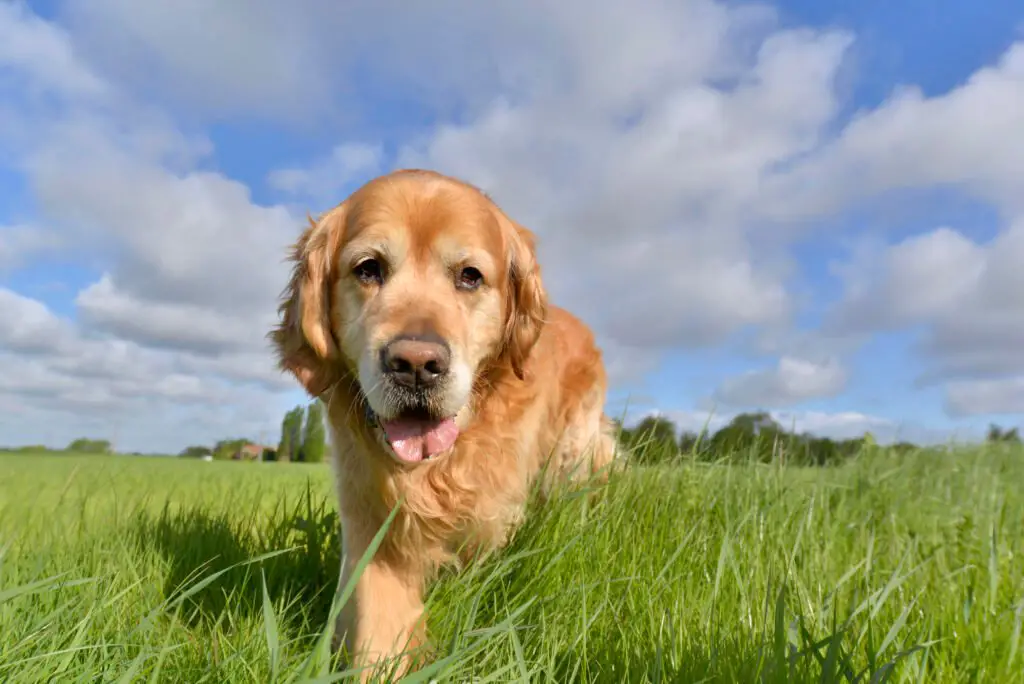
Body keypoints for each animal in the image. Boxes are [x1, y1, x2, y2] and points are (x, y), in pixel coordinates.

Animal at [270, 169, 614, 679]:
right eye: (368, 268)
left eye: (470, 276)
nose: (415, 364)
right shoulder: (372, 523)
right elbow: (378, 628)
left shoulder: (492, 515)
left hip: (573, 456)